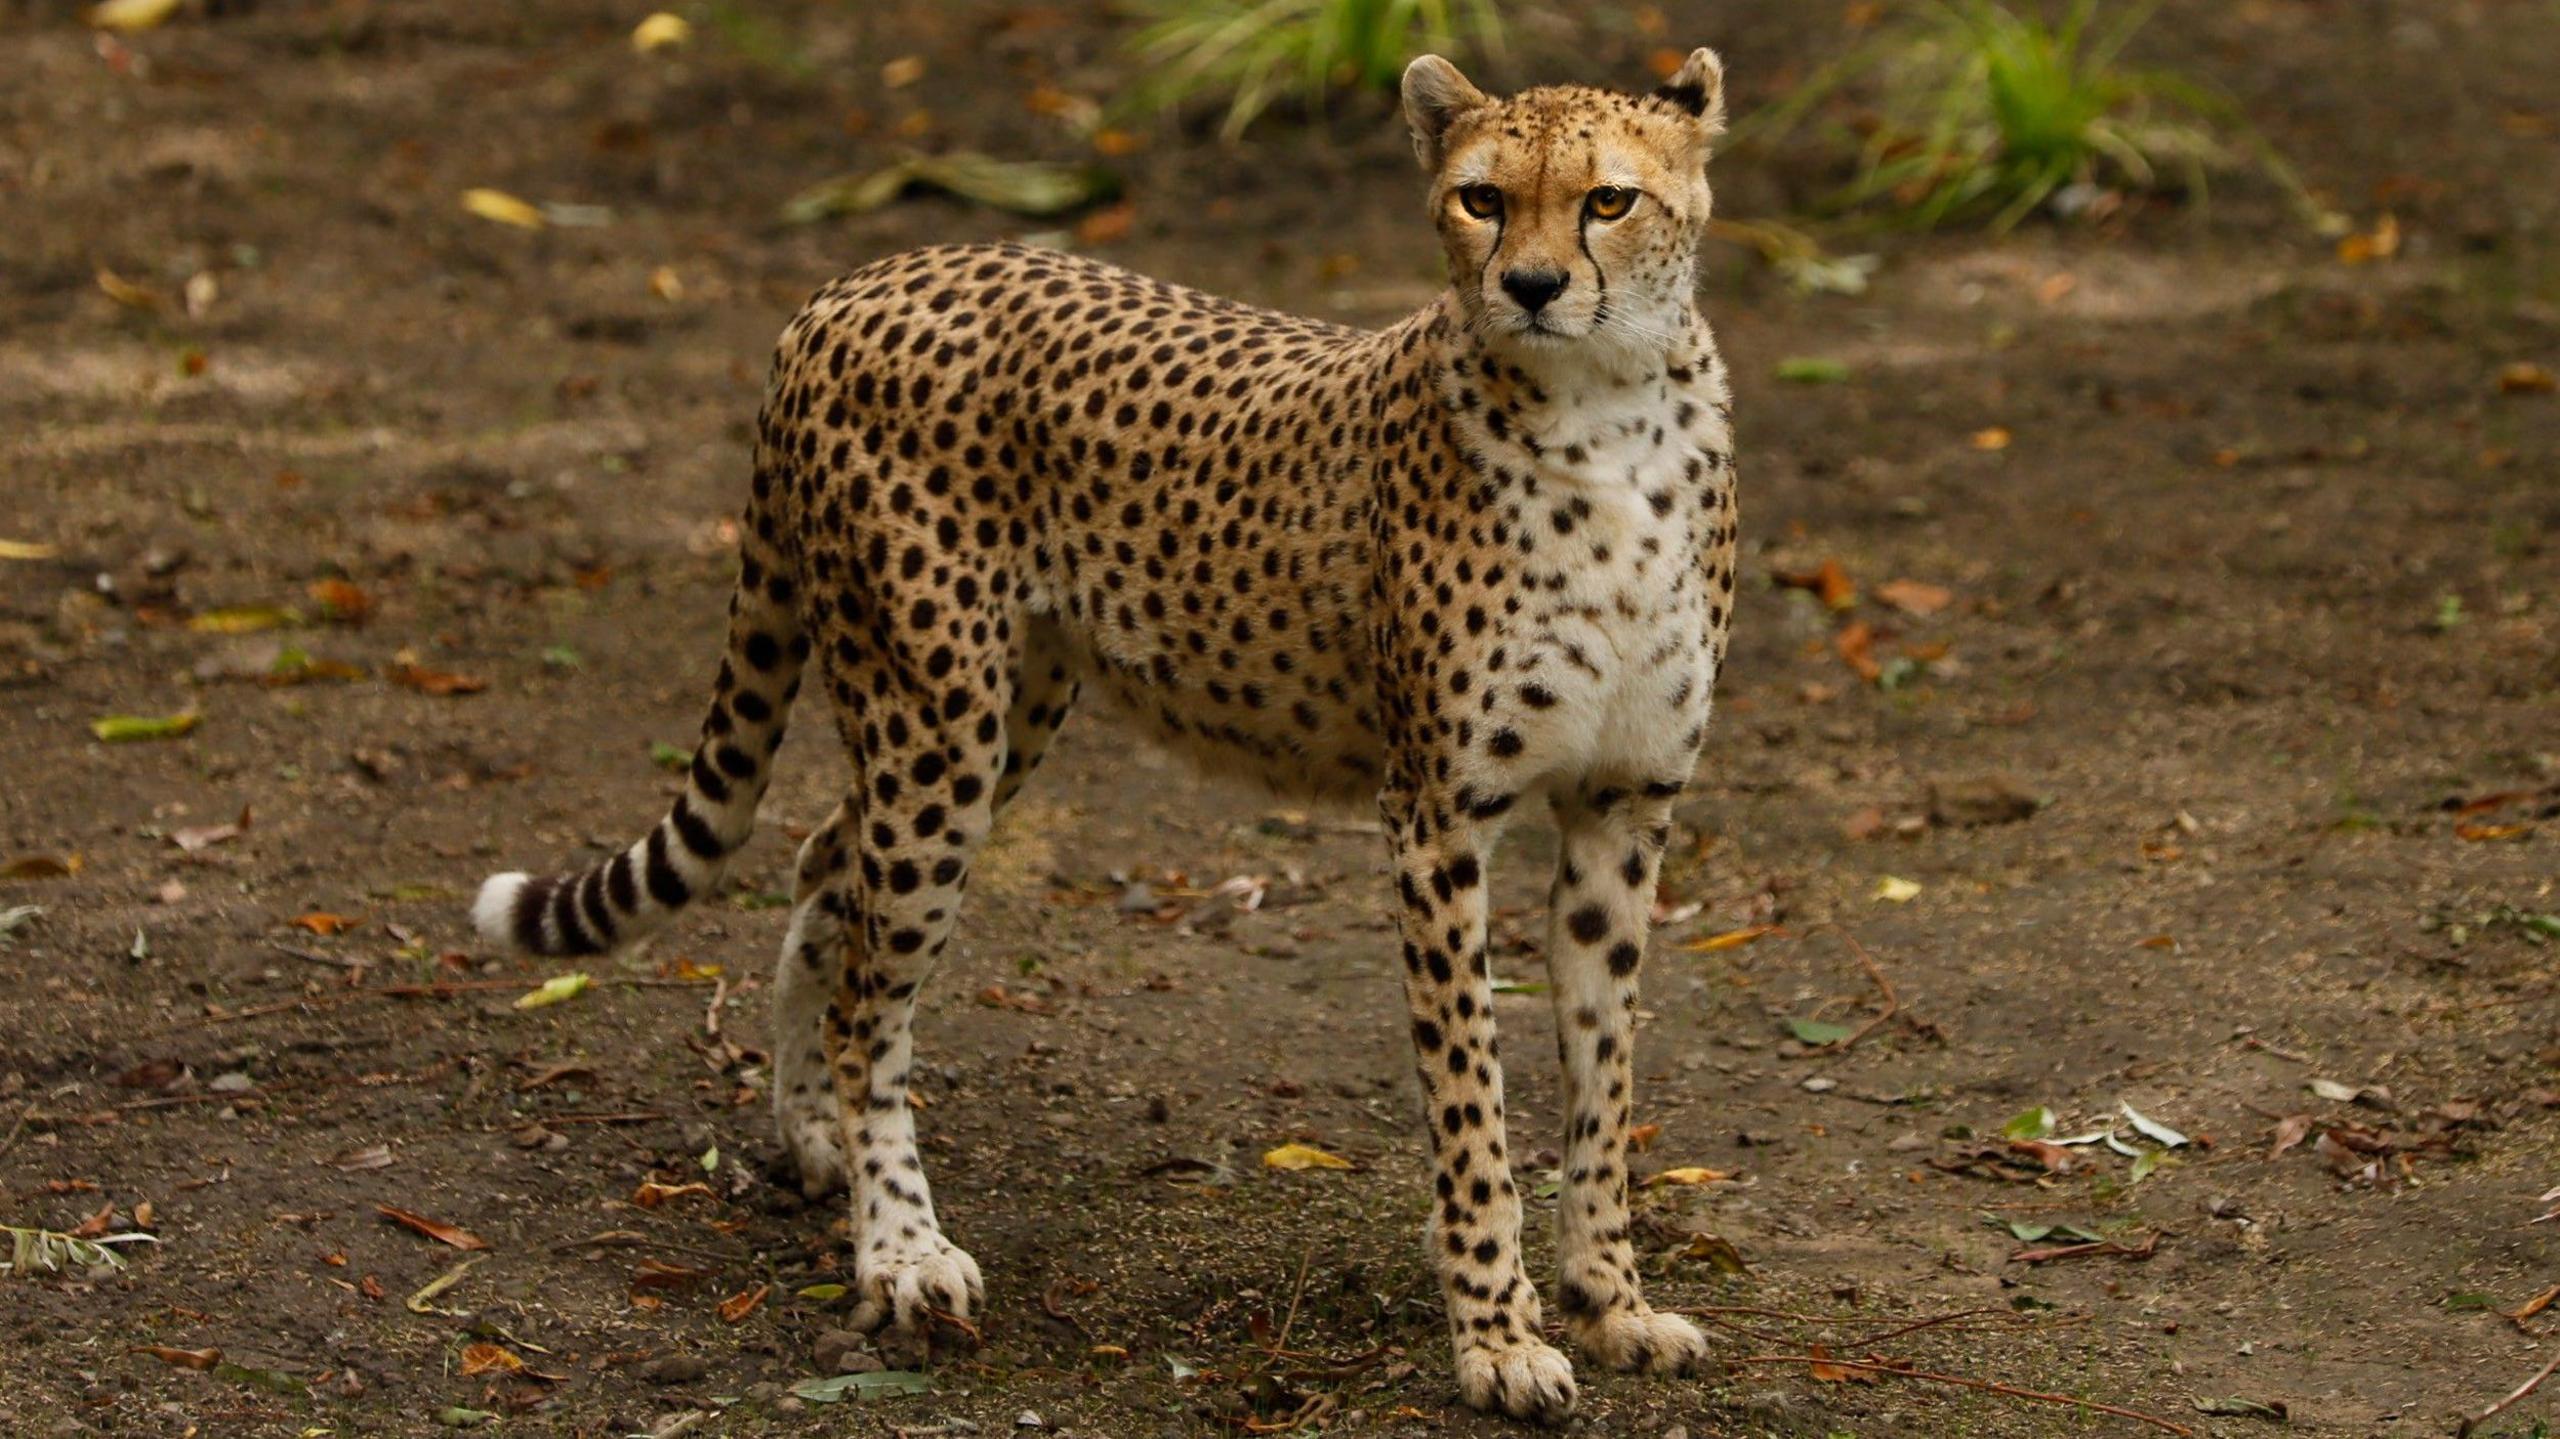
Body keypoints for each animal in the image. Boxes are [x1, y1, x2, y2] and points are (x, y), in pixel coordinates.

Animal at [476, 50, 1740, 1413]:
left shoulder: (1624, 807)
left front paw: (1611, 1302)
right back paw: (899, 1246)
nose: (1532, 286)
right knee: (873, 993)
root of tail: (860, 279)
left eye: (1608, 200)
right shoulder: (1436, 821)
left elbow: (1602, 1084)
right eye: (1481, 199)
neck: (1605, 419)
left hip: (998, 711)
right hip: (937, 717)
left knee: (827, 866)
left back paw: (813, 1133)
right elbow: (1472, 1104)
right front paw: (1497, 1336)